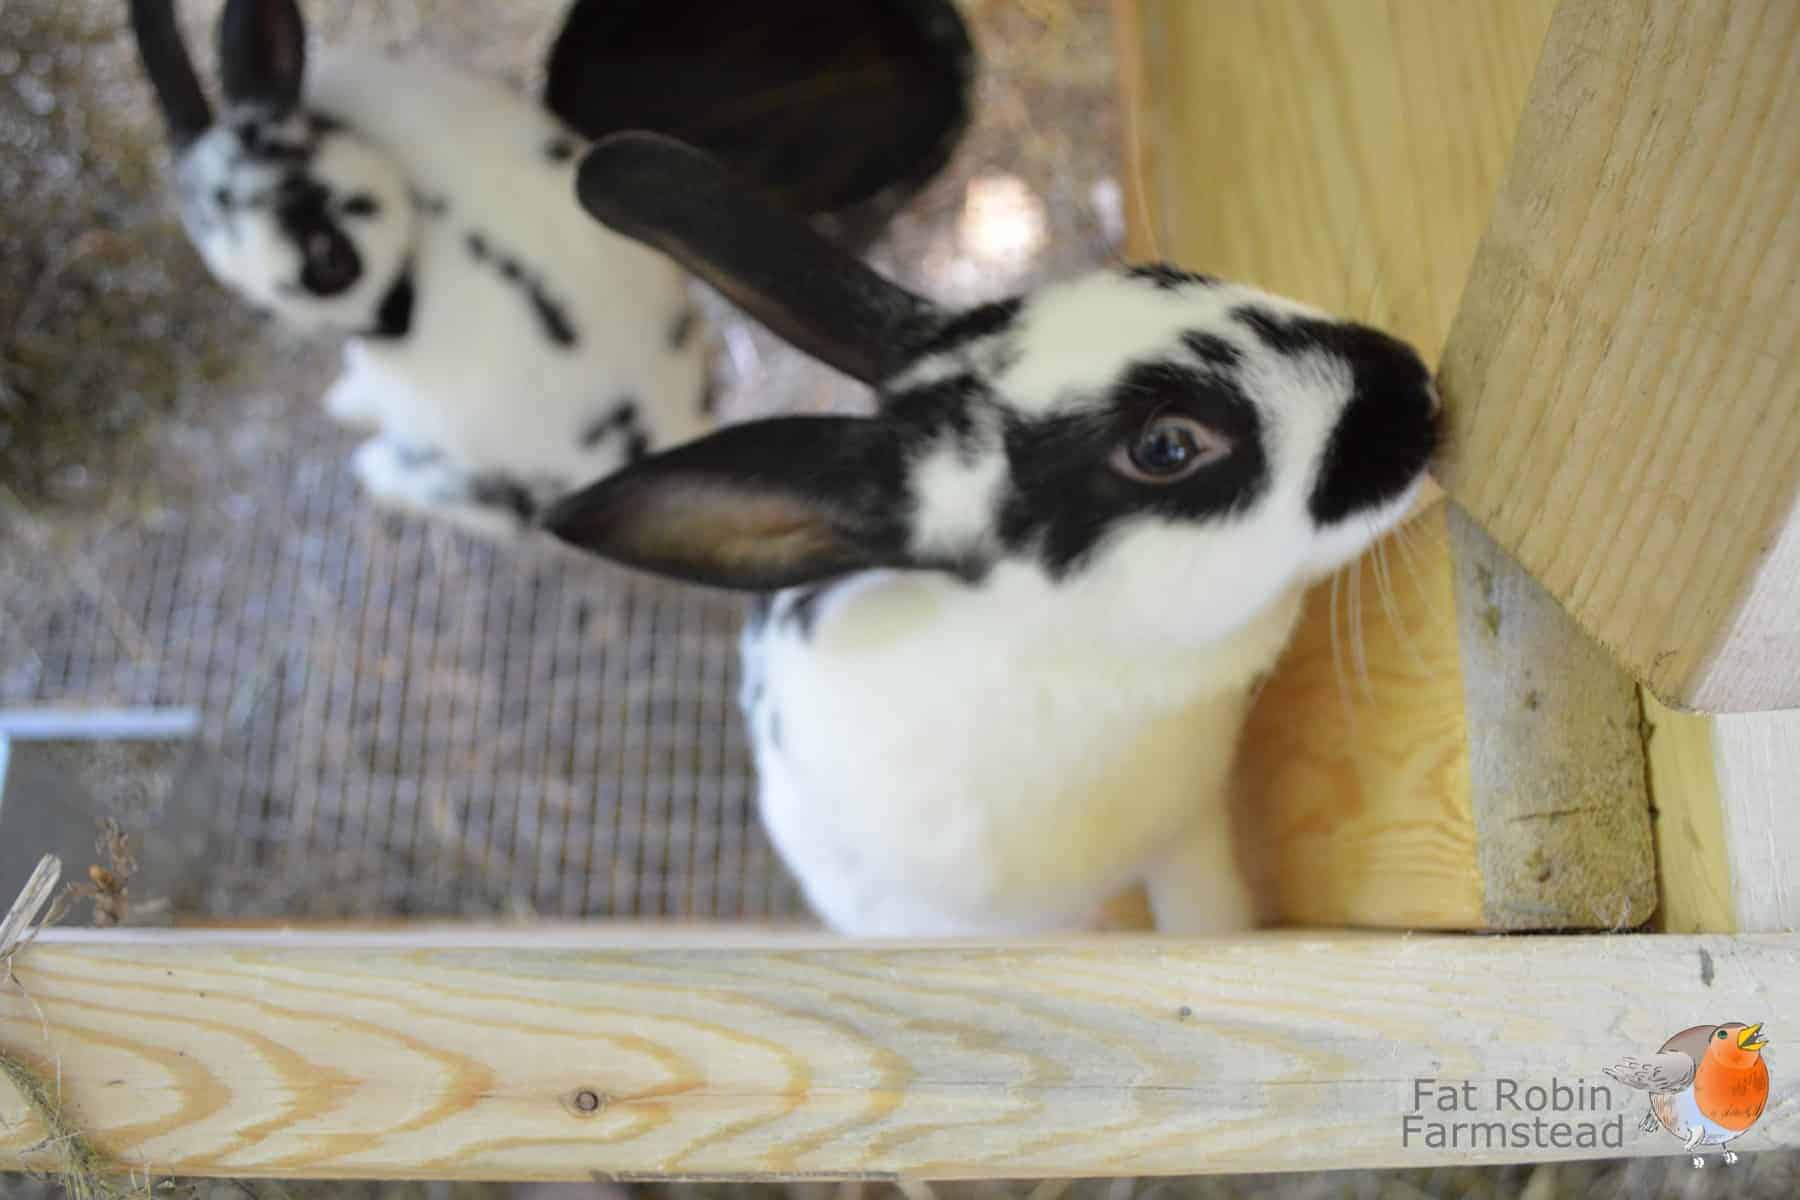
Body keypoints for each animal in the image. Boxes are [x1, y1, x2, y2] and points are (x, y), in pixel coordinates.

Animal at [540, 131, 1440, 935]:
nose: (1416, 393)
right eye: (1166, 447)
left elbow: (1209, 923)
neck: (1084, 669)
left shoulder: (1190, 838)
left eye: (1169, 278)